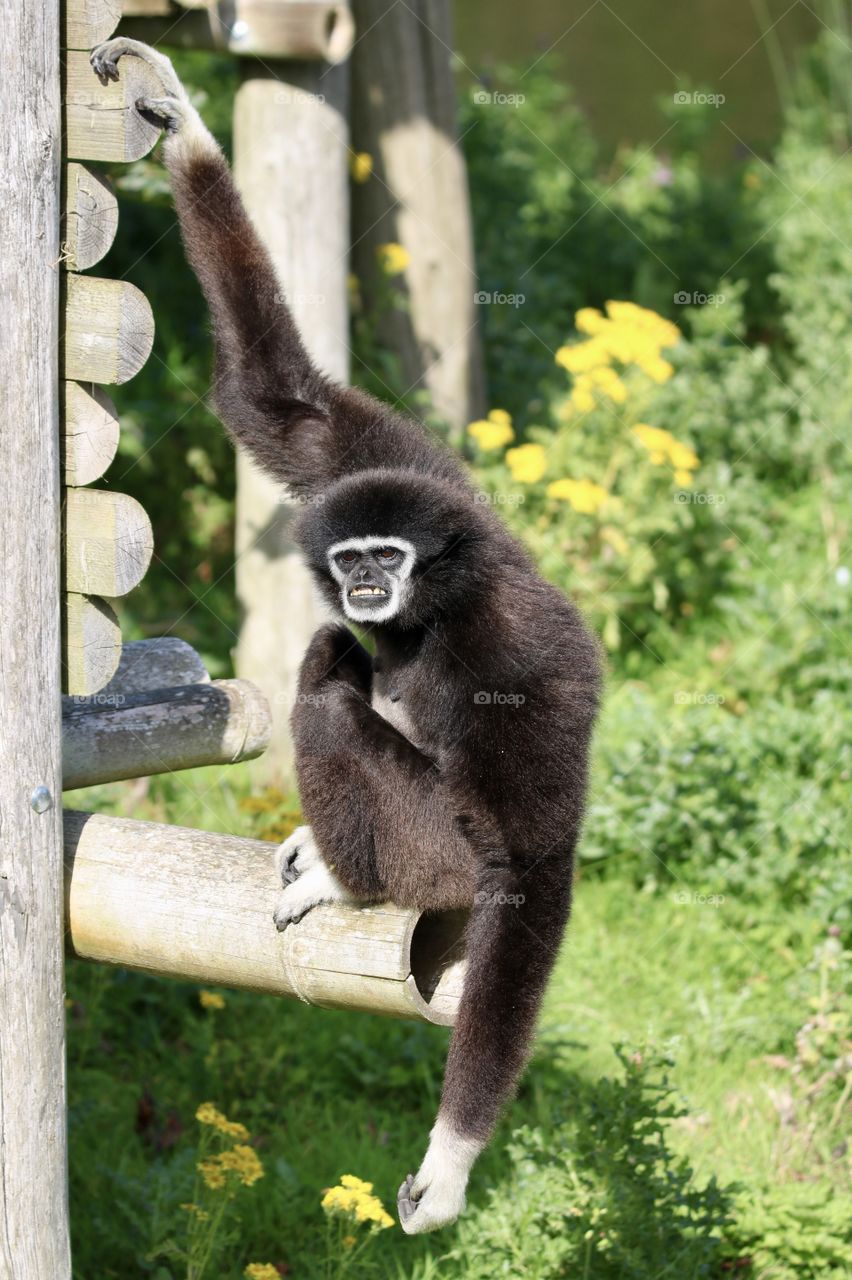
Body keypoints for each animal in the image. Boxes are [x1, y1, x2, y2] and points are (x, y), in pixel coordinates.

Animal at [90, 39, 602, 1235]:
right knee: (338, 651)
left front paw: (453, 1156)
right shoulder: (412, 473)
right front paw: (176, 114)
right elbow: (287, 404)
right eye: (358, 552)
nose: (364, 582)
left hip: (435, 852)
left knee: (333, 688)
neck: (441, 601)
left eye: (391, 558)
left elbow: (530, 865)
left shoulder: (513, 647)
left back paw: (343, 875)